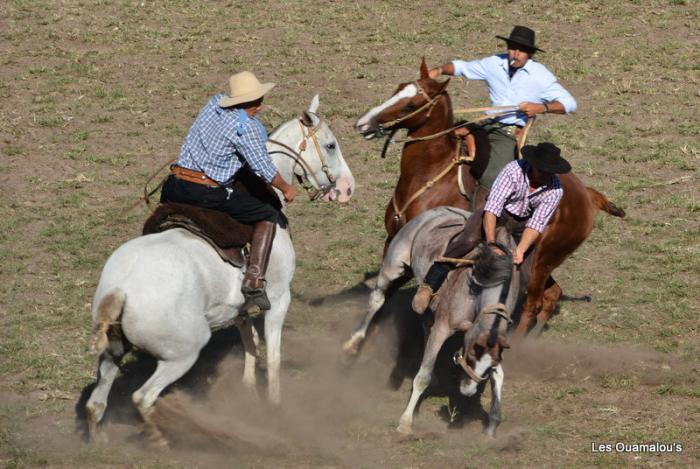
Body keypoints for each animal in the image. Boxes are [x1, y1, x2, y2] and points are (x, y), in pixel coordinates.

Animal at [85, 95, 356, 442]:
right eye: (331, 145)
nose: (347, 188)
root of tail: (121, 289)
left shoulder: (238, 306)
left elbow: (250, 341)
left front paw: (248, 389)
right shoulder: (279, 298)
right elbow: (273, 354)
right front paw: (275, 406)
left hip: (113, 351)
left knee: (96, 402)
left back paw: (100, 440)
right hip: (183, 353)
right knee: (142, 397)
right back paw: (161, 437)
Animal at [342, 208, 516, 436]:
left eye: (488, 365)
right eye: (469, 357)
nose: (468, 390)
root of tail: (434, 211)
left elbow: (499, 375)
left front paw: (492, 424)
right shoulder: (443, 328)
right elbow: (422, 376)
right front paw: (406, 422)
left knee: (425, 322)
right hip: (394, 267)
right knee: (377, 299)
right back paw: (353, 343)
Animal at [356, 59, 624, 336]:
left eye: (411, 105)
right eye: (398, 89)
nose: (363, 124)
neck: (431, 174)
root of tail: (587, 195)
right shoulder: (393, 239)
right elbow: (381, 295)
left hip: (543, 262)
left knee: (533, 303)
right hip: (532, 260)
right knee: (552, 295)